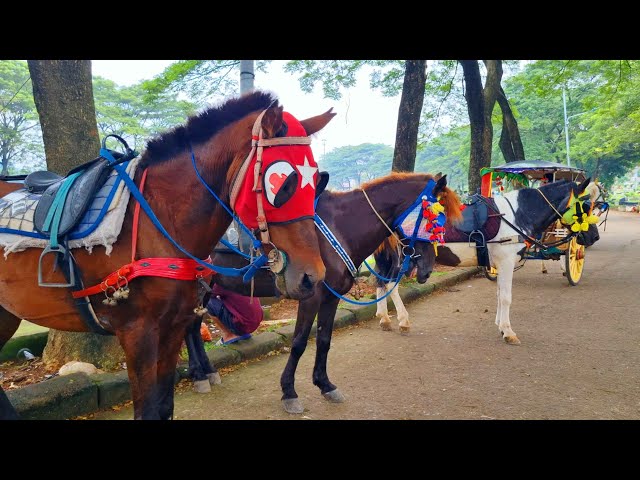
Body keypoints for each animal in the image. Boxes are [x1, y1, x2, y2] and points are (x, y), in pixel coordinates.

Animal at [0, 91, 332, 420]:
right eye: (284, 183)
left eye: (318, 181)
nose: (312, 277)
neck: (157, 221)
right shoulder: (137, 333)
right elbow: (148, 410)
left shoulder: (173, 327)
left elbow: (164, 407)